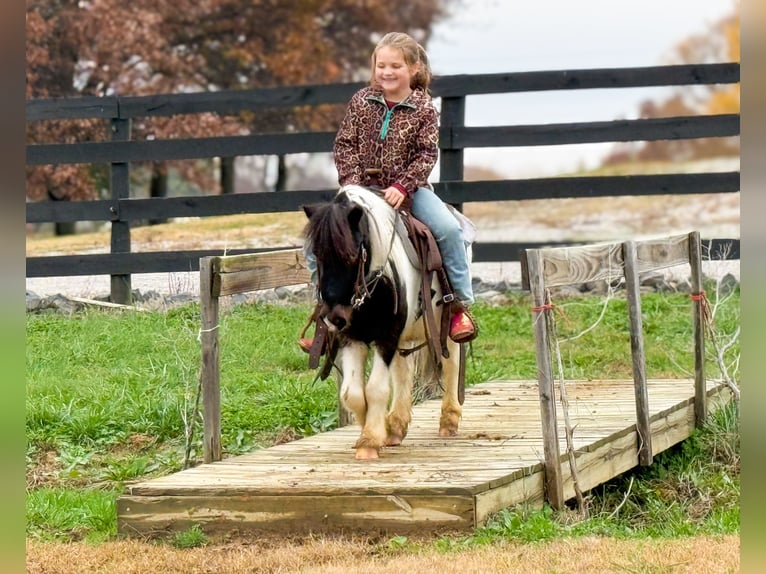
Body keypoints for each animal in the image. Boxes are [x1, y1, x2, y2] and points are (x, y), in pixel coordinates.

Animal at [302, 185, 464, 460]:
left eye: (352, 255)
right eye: (317, 255)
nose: (335, 318)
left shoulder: (386, 337)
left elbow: (376, 389)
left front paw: (370, 439)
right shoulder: (352, 338)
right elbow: (352, 393)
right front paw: (374, 430)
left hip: (444, 323)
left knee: (451, 361)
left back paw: (449, 421)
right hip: (404, 336)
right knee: (403, 371)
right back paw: (396, 426)